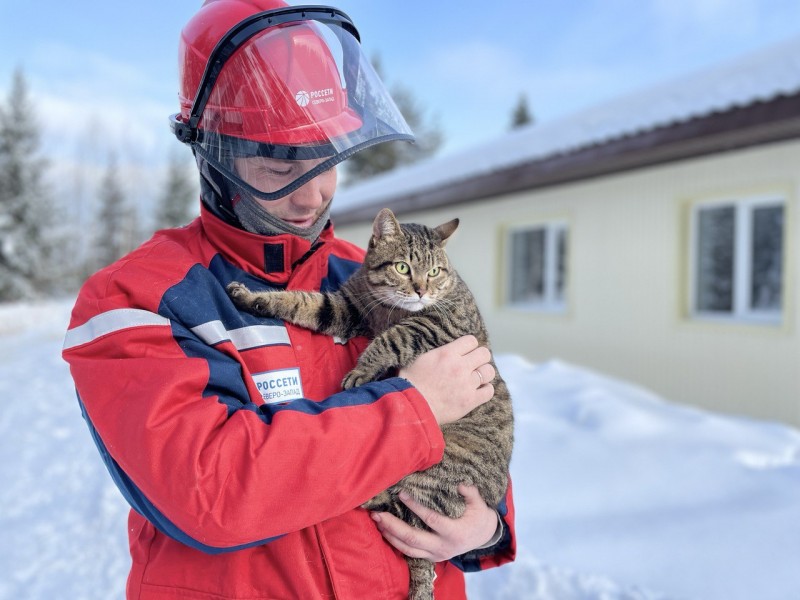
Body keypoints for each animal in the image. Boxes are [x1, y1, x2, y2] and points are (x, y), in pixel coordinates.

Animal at [227, 209, 512, 596]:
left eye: (435, 272)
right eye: (403, 267)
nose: (421, 290)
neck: (389, 309)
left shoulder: (440, 325)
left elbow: (392, 337)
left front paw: (361, 370)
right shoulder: (344, 306)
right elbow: (302, 301)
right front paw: (253, 298)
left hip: (437, 470)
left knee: (404, 511)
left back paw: (366, 498)